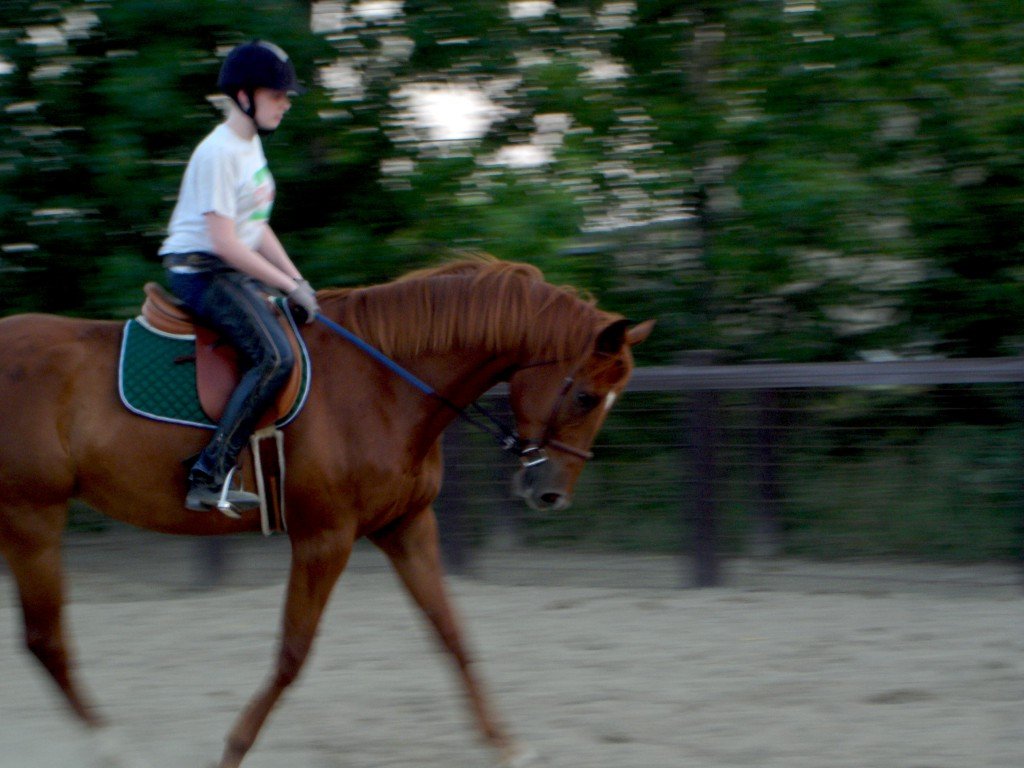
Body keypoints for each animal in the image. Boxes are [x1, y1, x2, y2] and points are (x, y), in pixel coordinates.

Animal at [0, 259, 655, 768]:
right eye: (585, 396)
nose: (551, 495)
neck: (383, 385)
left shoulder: (406, 527)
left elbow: (452, 632)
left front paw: (507, 745)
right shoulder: (326, 537)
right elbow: (293, 653)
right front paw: (233, 749)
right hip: (32, 516)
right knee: (45, 640)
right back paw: (113, 747)